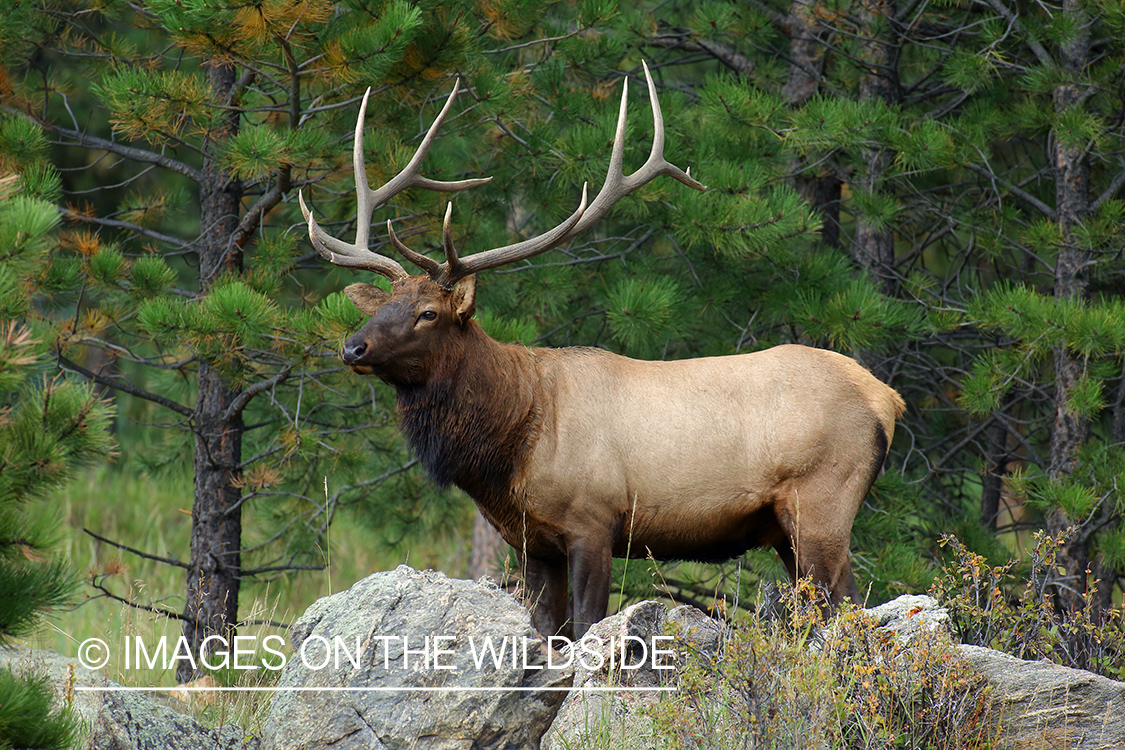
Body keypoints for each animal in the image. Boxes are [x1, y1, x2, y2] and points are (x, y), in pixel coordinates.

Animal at [299, 66, 904, 638]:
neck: (511, 442)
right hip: (784, 527)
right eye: (382, 305)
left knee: (846, 605)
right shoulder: (530, 540)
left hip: (822, 502)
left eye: (429, 313)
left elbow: (588, 624)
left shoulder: (593, 519)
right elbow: (547, 631)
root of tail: (887, 398)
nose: (352, 345)